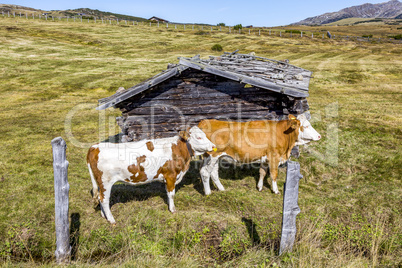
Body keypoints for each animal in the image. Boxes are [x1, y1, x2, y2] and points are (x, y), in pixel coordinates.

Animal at [87, 125, 215, 224]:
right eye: (199, 137)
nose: (213, 146)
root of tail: (95, 147)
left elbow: (167, 193)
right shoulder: (171, 176)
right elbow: (171, 194)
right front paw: (172, 210)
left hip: (100, 183)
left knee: (100, 197)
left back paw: (104, 215)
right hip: (106, 182)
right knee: (104, 199)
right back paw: (111, 220)